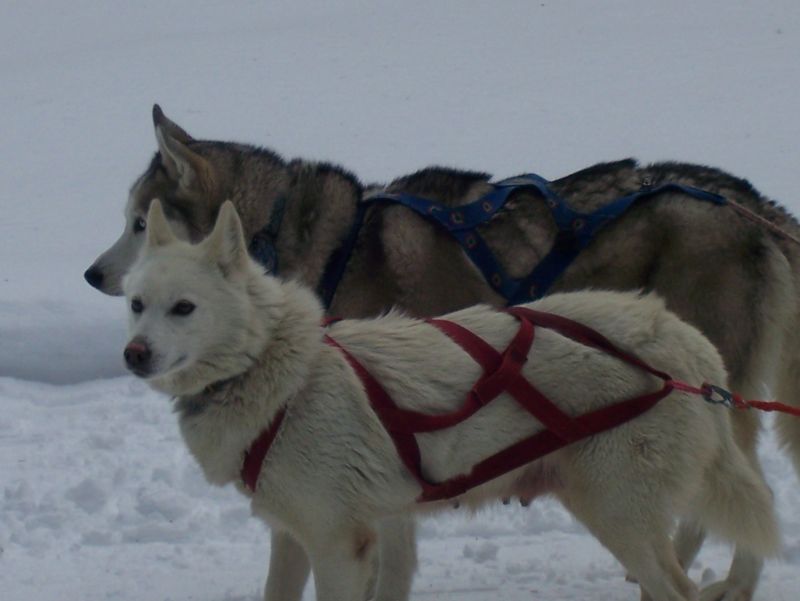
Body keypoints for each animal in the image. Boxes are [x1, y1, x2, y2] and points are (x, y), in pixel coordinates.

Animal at [87, 108, 800, 600]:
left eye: (138, 223)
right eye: (138, 300)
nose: (94, 276)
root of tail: (751, 202)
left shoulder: (346, 529)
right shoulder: (356, 512)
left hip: (631, 486)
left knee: (735, 509)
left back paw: (731, 581)